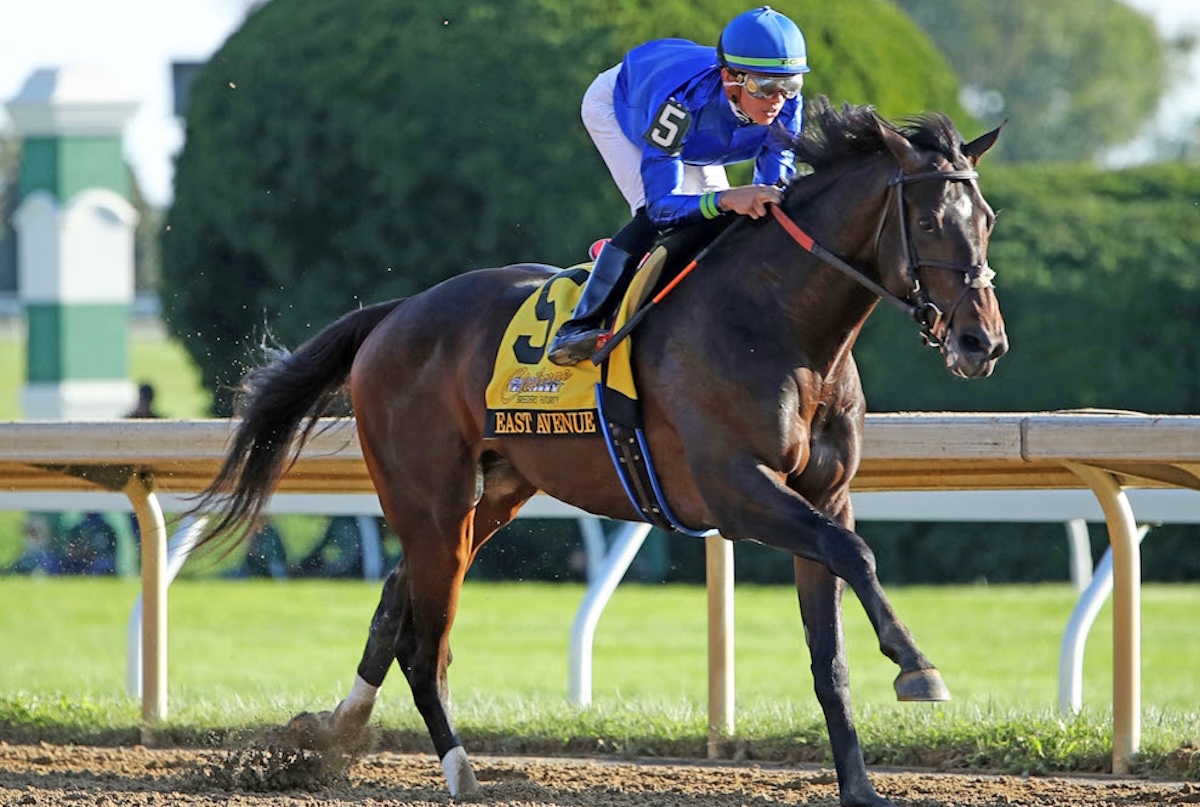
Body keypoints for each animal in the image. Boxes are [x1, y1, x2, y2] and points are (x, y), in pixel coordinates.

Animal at [192, 99, 1008, 806]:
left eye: (988, 220)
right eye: (930, 220)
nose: (983, 342)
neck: (777, 323)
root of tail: (395, 314)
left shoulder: (822, 495)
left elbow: (829, 647)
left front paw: (861, 785)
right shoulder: (736, 492)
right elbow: (856, 555)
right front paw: (918, 668)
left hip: (492, 493)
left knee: (398, 600)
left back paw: (331, 734)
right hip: (429, 498)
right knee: (426, 643)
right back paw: (457, 770)